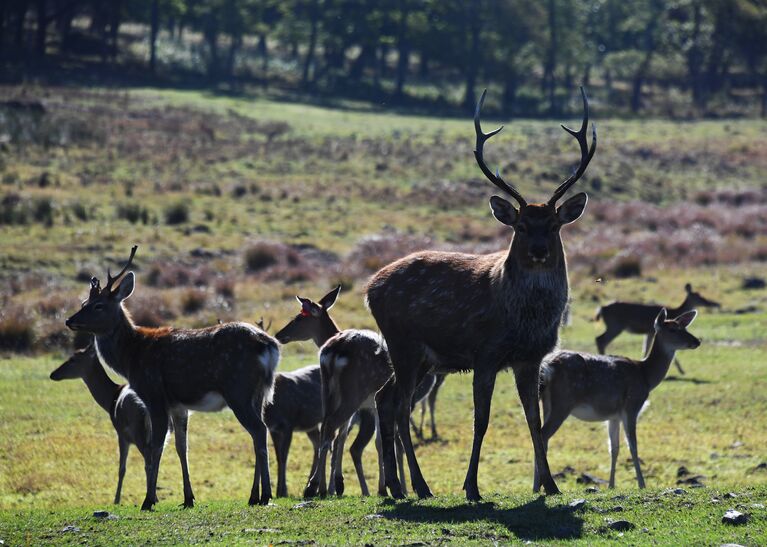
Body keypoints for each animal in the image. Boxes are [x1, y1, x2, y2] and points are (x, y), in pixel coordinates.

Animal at [49, 344, 195, 508]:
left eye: (72, 359)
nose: (53, 374)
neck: (110, 399)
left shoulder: (120, 433)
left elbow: (122, 468)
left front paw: (116, 500)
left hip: (138, 431)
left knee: (148, 459)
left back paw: (151, 498)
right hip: (165, 428)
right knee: (174, 450)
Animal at [65, 246, 282, 512]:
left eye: (98, 306)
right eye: (84, 302)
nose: (70, 320)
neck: (131, 357)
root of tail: (269, 346)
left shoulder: (154, 395)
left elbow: (156, 446)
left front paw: (148, 500)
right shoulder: (179, 406)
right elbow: (181, 447)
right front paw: (188, 498)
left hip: (238, 389)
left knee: (258, 430)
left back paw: (265, 495)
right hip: (260, 393)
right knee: (258, 430)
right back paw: (254, 495)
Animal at [368, 86, 600, 500]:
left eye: (554, 225)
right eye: (521, 226)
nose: (538, 251)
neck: (523, 320)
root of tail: (369, 287)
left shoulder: (530, 359)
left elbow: (534, 420)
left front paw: (550, 485)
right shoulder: (486, 353)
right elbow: (482, 420)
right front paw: (472, 487)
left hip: (422, 358)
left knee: (386, 399)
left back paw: (396, 486)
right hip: (403, 344)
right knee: (399, 406)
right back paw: (419, 486)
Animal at [540, 308, 704, 492]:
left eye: (684, 327)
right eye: (673, 329)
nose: (697, 341)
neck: (646, 375)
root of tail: (548, 367)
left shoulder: (613, 416)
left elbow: (614, 448)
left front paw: (611, 485)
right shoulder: (632, 405)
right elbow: (633, 446)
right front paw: (642, 484)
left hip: (547, 403)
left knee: (541, 435)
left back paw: (538, 486)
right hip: (563, 402)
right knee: (543, 434)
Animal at [592, 286, 720, 372]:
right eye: (698, 296)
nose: (713, 303)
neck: (674, 312)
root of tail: (601, 309)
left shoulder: (648, 332)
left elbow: (646, 348)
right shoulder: (651, 331)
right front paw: (681, 370)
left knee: (600, 339)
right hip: (615, 326)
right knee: (600, 339)